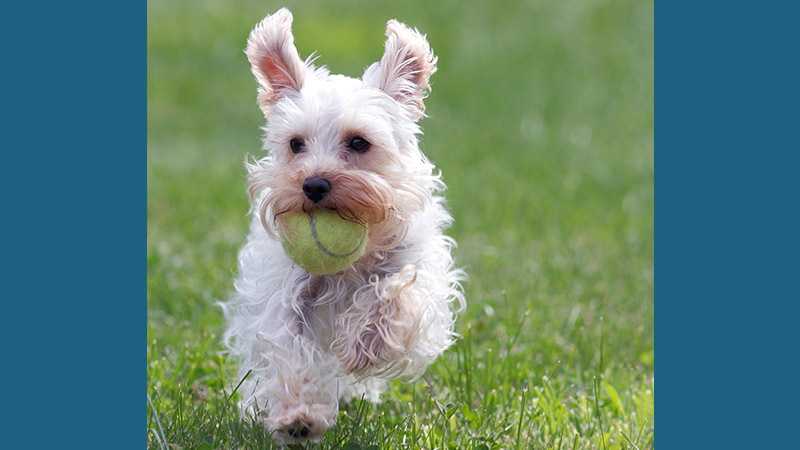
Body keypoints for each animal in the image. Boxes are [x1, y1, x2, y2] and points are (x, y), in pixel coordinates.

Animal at [222, 8, 466, 444]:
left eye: (359, 143)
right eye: (295, 144)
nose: (313, 184)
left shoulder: (419, 275)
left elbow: (396, 294)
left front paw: (365, 342)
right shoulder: (286, 290)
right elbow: (288, 346)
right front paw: (299, 415)